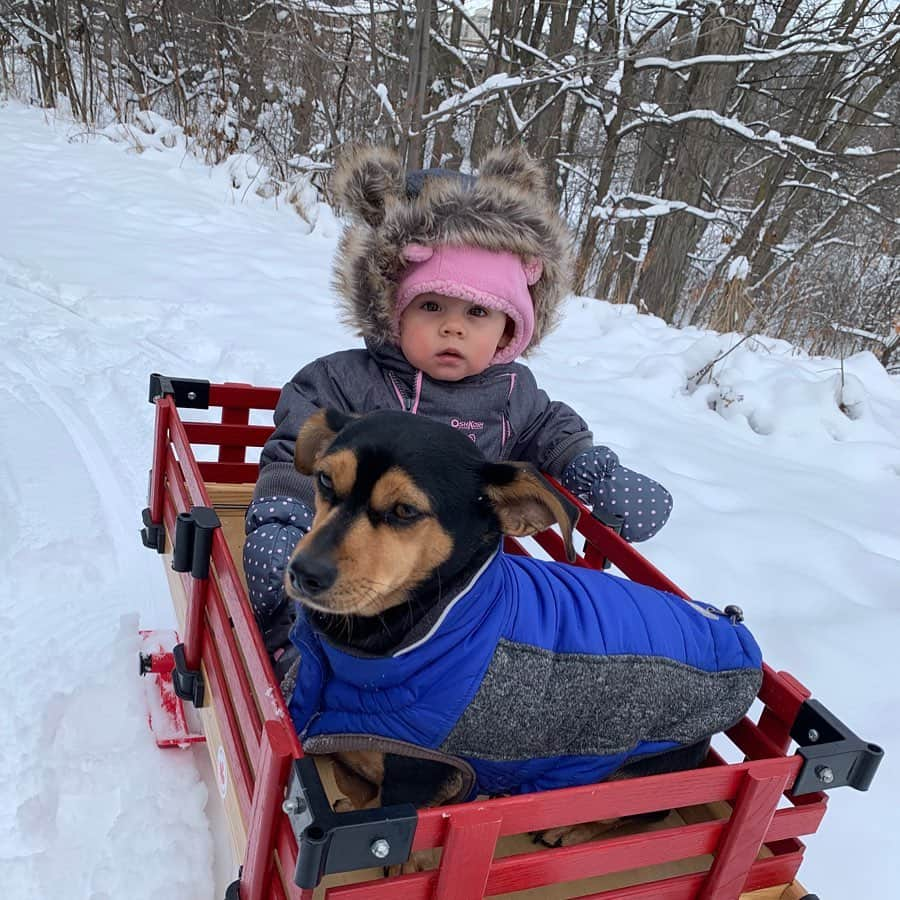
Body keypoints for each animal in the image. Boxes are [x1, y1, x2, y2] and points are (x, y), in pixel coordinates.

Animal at [282, 412, 760, 848]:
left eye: (405, 511)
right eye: (325, 479)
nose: (304, 573)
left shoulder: (414, 783)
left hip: (640, 773)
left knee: (638, 813)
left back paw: (568, 828)